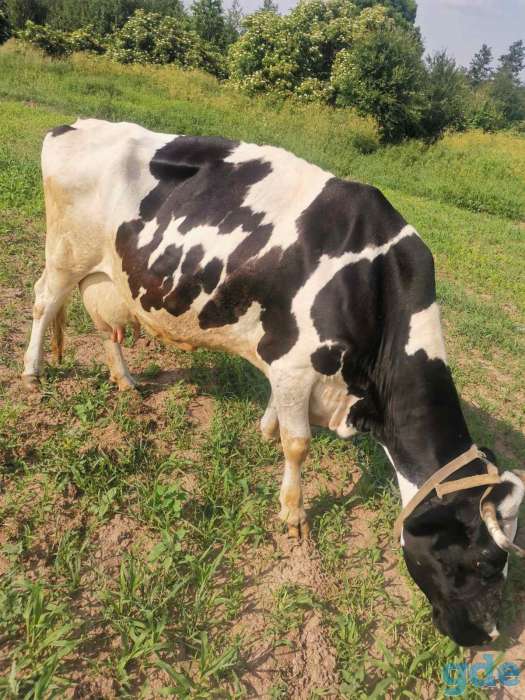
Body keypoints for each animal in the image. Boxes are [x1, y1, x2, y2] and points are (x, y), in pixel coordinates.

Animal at [22, 119, 524, 647]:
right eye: (485, 561)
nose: (489, 636)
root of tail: (74, 124)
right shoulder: (297, 365)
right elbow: (298, 444)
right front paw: (293, 514)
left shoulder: (288, 364)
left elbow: (279, 417)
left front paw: (265, 430)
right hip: (65, 255)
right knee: (43, 301)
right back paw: (32, 371)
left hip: (106, 274)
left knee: (105, 328)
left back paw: (124, 379)